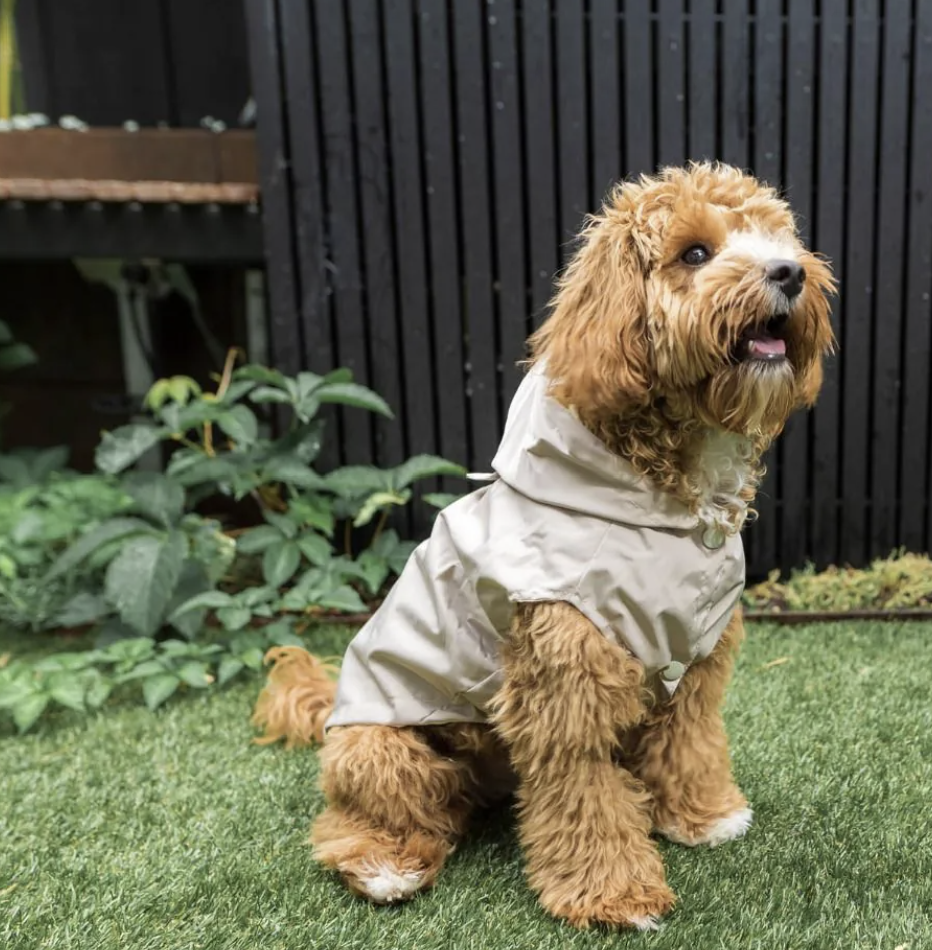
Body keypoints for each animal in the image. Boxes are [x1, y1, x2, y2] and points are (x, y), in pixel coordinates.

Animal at [252, 163, 835, 929]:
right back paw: (385, 866)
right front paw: (615, 894)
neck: (675, 508)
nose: (790, 272)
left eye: (776, 237)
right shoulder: (567, 674)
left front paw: (703, 815)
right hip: (381, 746)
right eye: (695, 253)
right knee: (355, 820)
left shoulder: (697, 655)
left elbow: (690, 740)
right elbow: (584, 791)